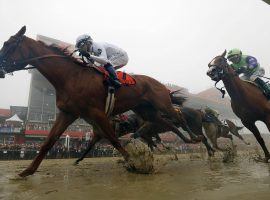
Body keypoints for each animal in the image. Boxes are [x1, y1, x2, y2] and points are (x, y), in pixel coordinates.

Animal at [0, 26, 198, 177]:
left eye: (8, 44)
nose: (0, 67)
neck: (71, 77)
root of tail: (162, 85)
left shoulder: (97, 113)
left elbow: (114, 140)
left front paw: (134, 163)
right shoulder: (68, 113)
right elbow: (48, 142)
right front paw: (28, 170)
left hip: (162, 104)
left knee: (178, 116)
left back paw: (195, 137)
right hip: (147, 112)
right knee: (169, 124)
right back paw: (185, 142)